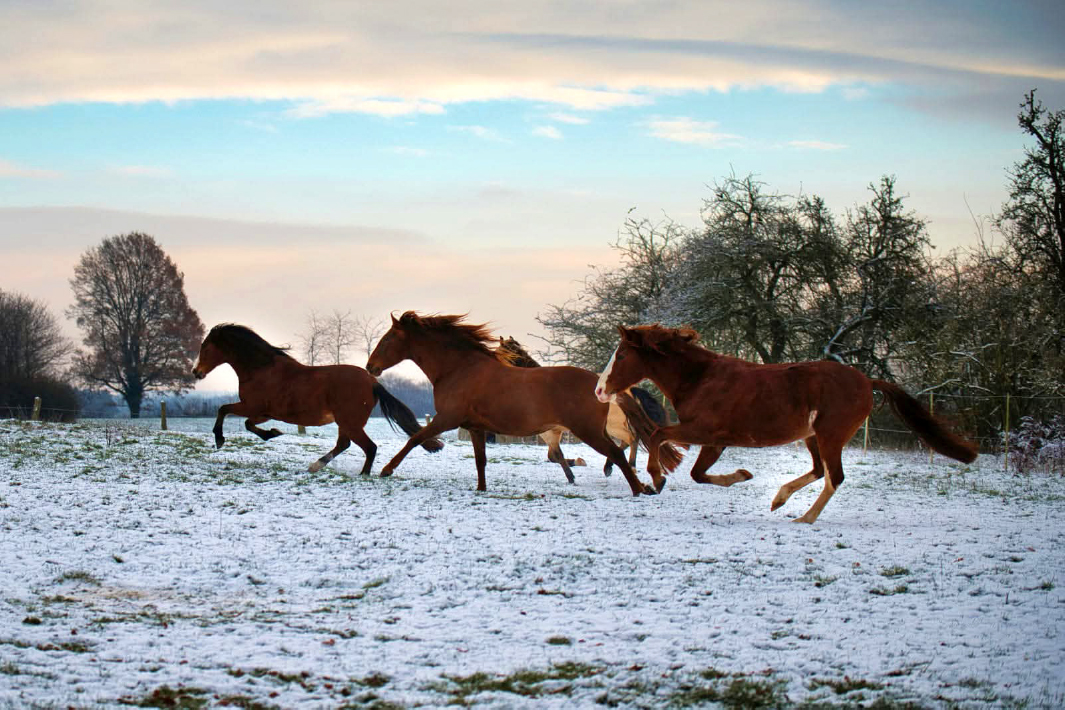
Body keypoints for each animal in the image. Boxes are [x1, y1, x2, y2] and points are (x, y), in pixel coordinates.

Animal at [193, 323, 443, 474]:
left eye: (205, 348)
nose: (197, 372)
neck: (261, 369)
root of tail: (372, 382)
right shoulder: (263, 412)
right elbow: (247, 423)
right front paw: (272, 433)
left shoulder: (252, 406)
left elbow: (224, 409)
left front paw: (220, 439)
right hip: (345, 423)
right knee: (344, 444)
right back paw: (315, 466)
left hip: (350, 423)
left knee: (369, 447)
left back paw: (362, 474)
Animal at [496, 336, 670, 478]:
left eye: (502, 352)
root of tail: (628, 391)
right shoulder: (555, 431)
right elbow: (553, 456)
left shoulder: (548, 432)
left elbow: (554, 456)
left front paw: (575, 467)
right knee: (628, 441)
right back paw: (613, 466)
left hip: (612, 427)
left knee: (631, 439)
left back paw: (624, 466)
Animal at [595, 324, 978, 523]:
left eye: (622, 355)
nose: (599, 390)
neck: (701, 378)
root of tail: (867, 381)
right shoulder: (716, 441)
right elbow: (698, 473)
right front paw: (742, 476)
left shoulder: (703, 431)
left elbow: (660, 437)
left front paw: (657, 478)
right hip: (812, 436)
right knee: (820, 471)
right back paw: (779, 500)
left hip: (831, 434)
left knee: (835, 476)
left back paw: (804, 518)